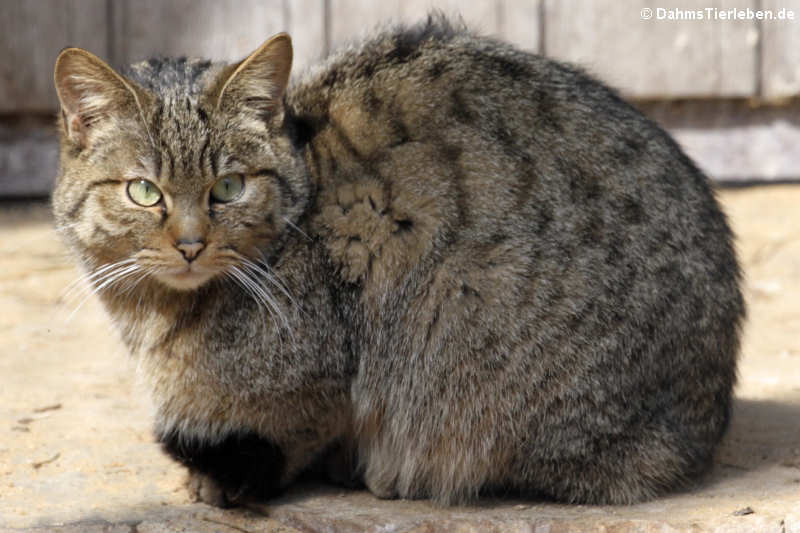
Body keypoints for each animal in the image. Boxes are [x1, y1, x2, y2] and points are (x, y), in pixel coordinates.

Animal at [53, 16, 748, 508]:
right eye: (145, 192)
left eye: (228, 187)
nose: (191, 242)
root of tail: (707, 419)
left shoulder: (326, 368)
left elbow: (295, 428)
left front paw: (234, 479)